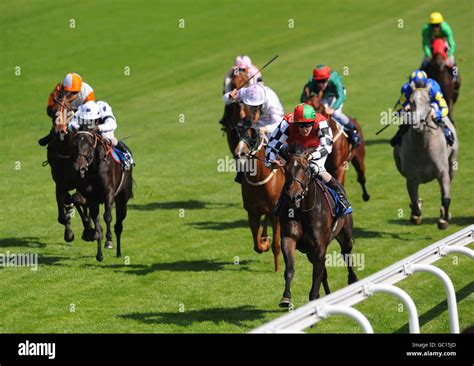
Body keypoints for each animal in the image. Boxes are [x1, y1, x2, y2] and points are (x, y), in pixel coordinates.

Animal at [45, 93, 95, 243]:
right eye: (53, 112)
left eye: (68, 111)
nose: (60, 131)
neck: (66, 152)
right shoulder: (60, 184)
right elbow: (62, 215)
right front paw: (69, 233)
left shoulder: (82, 182)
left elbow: (80, 199)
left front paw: (89, 230)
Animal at [71, 129, 133, 260]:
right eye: (74, 145)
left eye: (90, 145)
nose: (79, 168)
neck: (94, 169)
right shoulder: (91, 197)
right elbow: (96, 222)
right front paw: (98, 250)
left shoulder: (109, 192)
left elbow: (107, 216)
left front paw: (109, 240)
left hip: (122, 199)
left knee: (118, 225)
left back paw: (118, 252)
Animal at [234, 119, 284, 272]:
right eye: (238, 134)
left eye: (253, 136)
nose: (239, 154)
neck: (259, 179)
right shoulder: (252, 212)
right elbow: (257, 245)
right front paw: (264, 242)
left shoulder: (276, 214)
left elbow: (276, 245)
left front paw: (277, 270)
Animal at [276, 146, 358, 306]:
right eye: (286, 169)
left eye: (305, 169)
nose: (293, 196)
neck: (303, 211)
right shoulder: (289, 239)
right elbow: (290, 268)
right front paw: (286, 297)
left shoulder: (320, 247)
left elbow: (316, 278)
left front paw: (314, 300)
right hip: (310, 252)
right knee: (324, 273)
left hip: (345, 236)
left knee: (346, 255)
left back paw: (353, 280)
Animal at [392, 85, 460, 229]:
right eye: (411, 102)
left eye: (428, 101)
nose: (418, 123)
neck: (423, 147)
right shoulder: (411, 178)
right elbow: (414, 202)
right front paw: (416, 214)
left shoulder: (442, 172)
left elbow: (446, 198)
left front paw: (444, 219)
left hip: (452, 164)